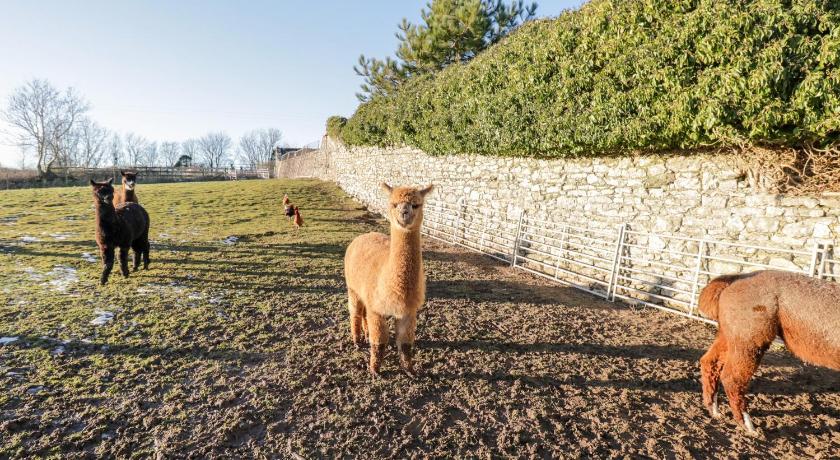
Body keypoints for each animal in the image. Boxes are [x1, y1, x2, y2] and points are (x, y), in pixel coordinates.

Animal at [344, 183, 434, 376]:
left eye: (416, 204)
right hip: (352, 288)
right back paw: (357, 340)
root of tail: (363, 235)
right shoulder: (377, 310)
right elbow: (379, 342)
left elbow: (406, 344)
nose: (404, 213)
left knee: (363, 313)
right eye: (394, 204)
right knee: (355, 312)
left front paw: (410, 371)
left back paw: (365, 334)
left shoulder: (408, 312)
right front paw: (374, 370)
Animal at [698, 270, 840, 434]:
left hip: (730, 334)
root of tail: (737, 277)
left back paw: (713, 410)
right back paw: (748, 426)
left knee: (710, 362)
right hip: (750, 337)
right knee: (732, 378)